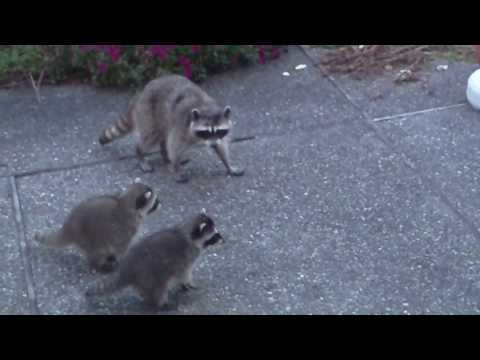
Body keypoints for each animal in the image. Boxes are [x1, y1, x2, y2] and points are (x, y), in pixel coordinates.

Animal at [86, 212, 225, 310]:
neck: (186, 232)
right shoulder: (186, 258)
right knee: (159, 290)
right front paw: (187, 283)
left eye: (217, 233)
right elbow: (183, 274)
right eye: (215, 235)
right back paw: (162, 303)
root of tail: (127, 270)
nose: (224, 240)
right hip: (153, 274)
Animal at [99, 75, 246, 183]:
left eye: (219, 131)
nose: (213, 145)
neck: (207, 108)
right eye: (205, 132)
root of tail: (141, 94)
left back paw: (165, 156)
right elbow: (174, 145)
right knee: (152, 136)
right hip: (149, 114)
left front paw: (228, 164)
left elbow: (221, 146)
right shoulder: (181, 125)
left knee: (164, 137)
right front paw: (176, 168)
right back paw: (141, 152)